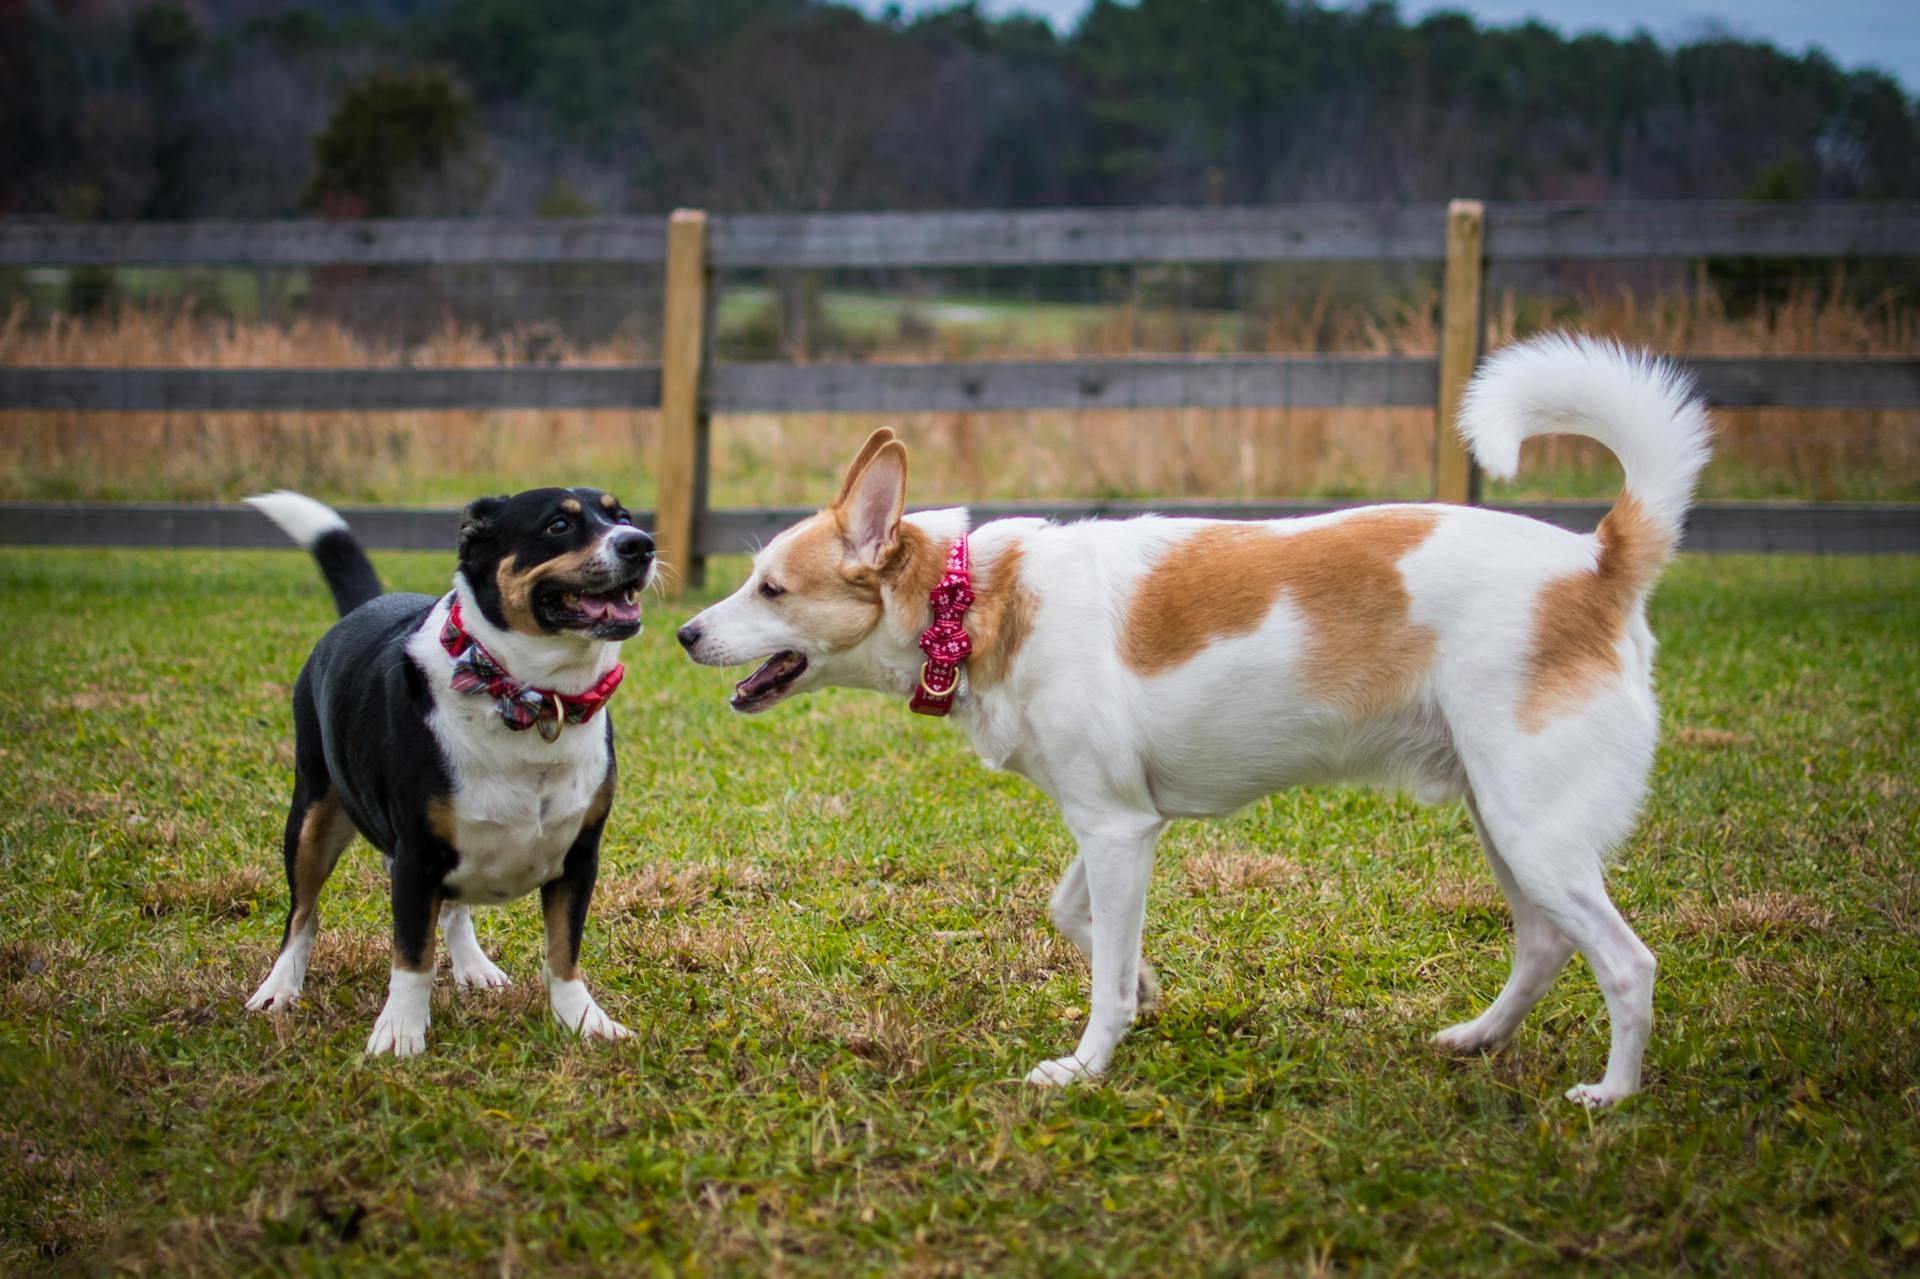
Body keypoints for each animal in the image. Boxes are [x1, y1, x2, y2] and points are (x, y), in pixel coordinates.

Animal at [243, 483, 652, 1052]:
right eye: (558, 525)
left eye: (624, 517)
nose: (641, 544)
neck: (530, 698)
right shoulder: (416, 856)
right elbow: (413, 958)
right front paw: (400, 1032)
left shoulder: (580, 855)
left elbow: (563, 952)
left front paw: (583, 1020)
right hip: (312, 813)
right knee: (302, 914)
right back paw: (279, 988)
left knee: (455, 909)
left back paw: (474, 967)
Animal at [675, 334, 1712, 1098]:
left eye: (769, 587)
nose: (683, 631)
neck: (968, 601)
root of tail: (1598, 560)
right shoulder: (1116, 823)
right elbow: (1079, 921)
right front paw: (1145, 984)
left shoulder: (1116, 830)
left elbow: (1098, 983)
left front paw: (1087, 1065)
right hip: (1504, 819)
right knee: (1543, 944)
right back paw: (1478, 1039)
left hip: (1534, 825)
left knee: (1627, 964)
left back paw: (1612, 1097)